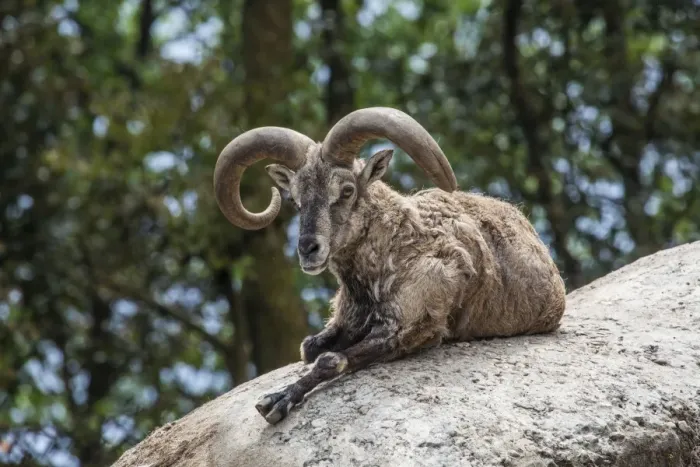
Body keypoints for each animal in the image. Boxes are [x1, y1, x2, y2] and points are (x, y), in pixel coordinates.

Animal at [213, 107, 566, 424]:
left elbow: (330, 360)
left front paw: (277, 400)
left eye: (347, 190)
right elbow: (309, 348)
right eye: (295, 199)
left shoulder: (409, 329)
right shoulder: (346, 322)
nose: (308, 249)